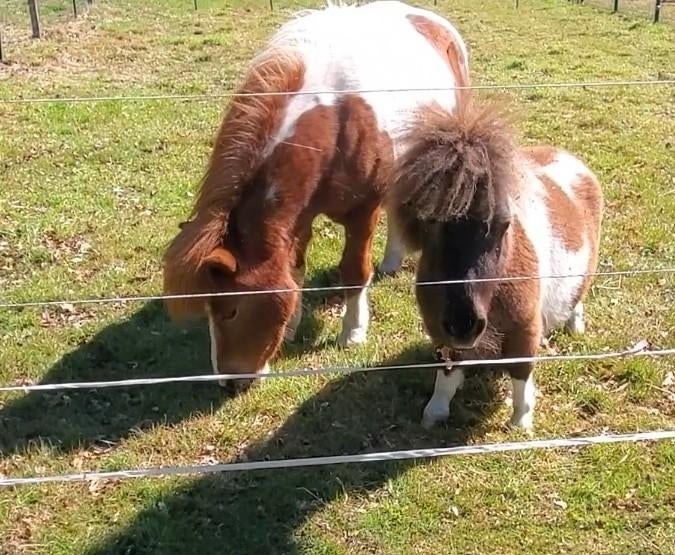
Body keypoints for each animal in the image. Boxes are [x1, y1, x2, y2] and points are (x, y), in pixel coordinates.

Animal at [162, 1, 471, 390]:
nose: (230, 382)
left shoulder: (362, 211)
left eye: (231, 310)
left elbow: (354, 271)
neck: (335, 119)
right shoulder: (298, 217)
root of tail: (431, 20)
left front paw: (352, 332)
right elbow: (294, 271)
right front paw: (292, 324)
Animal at [388, 98, 603, 431]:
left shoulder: (523, 330)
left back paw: (575, 325)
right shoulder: (441, 332)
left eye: (503, 224)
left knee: (578, 296)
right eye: (431, 224)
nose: (463, 324)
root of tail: (570, 159)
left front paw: (521, 422)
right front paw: (434, 413)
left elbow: (521, 374)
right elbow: (446, 372)